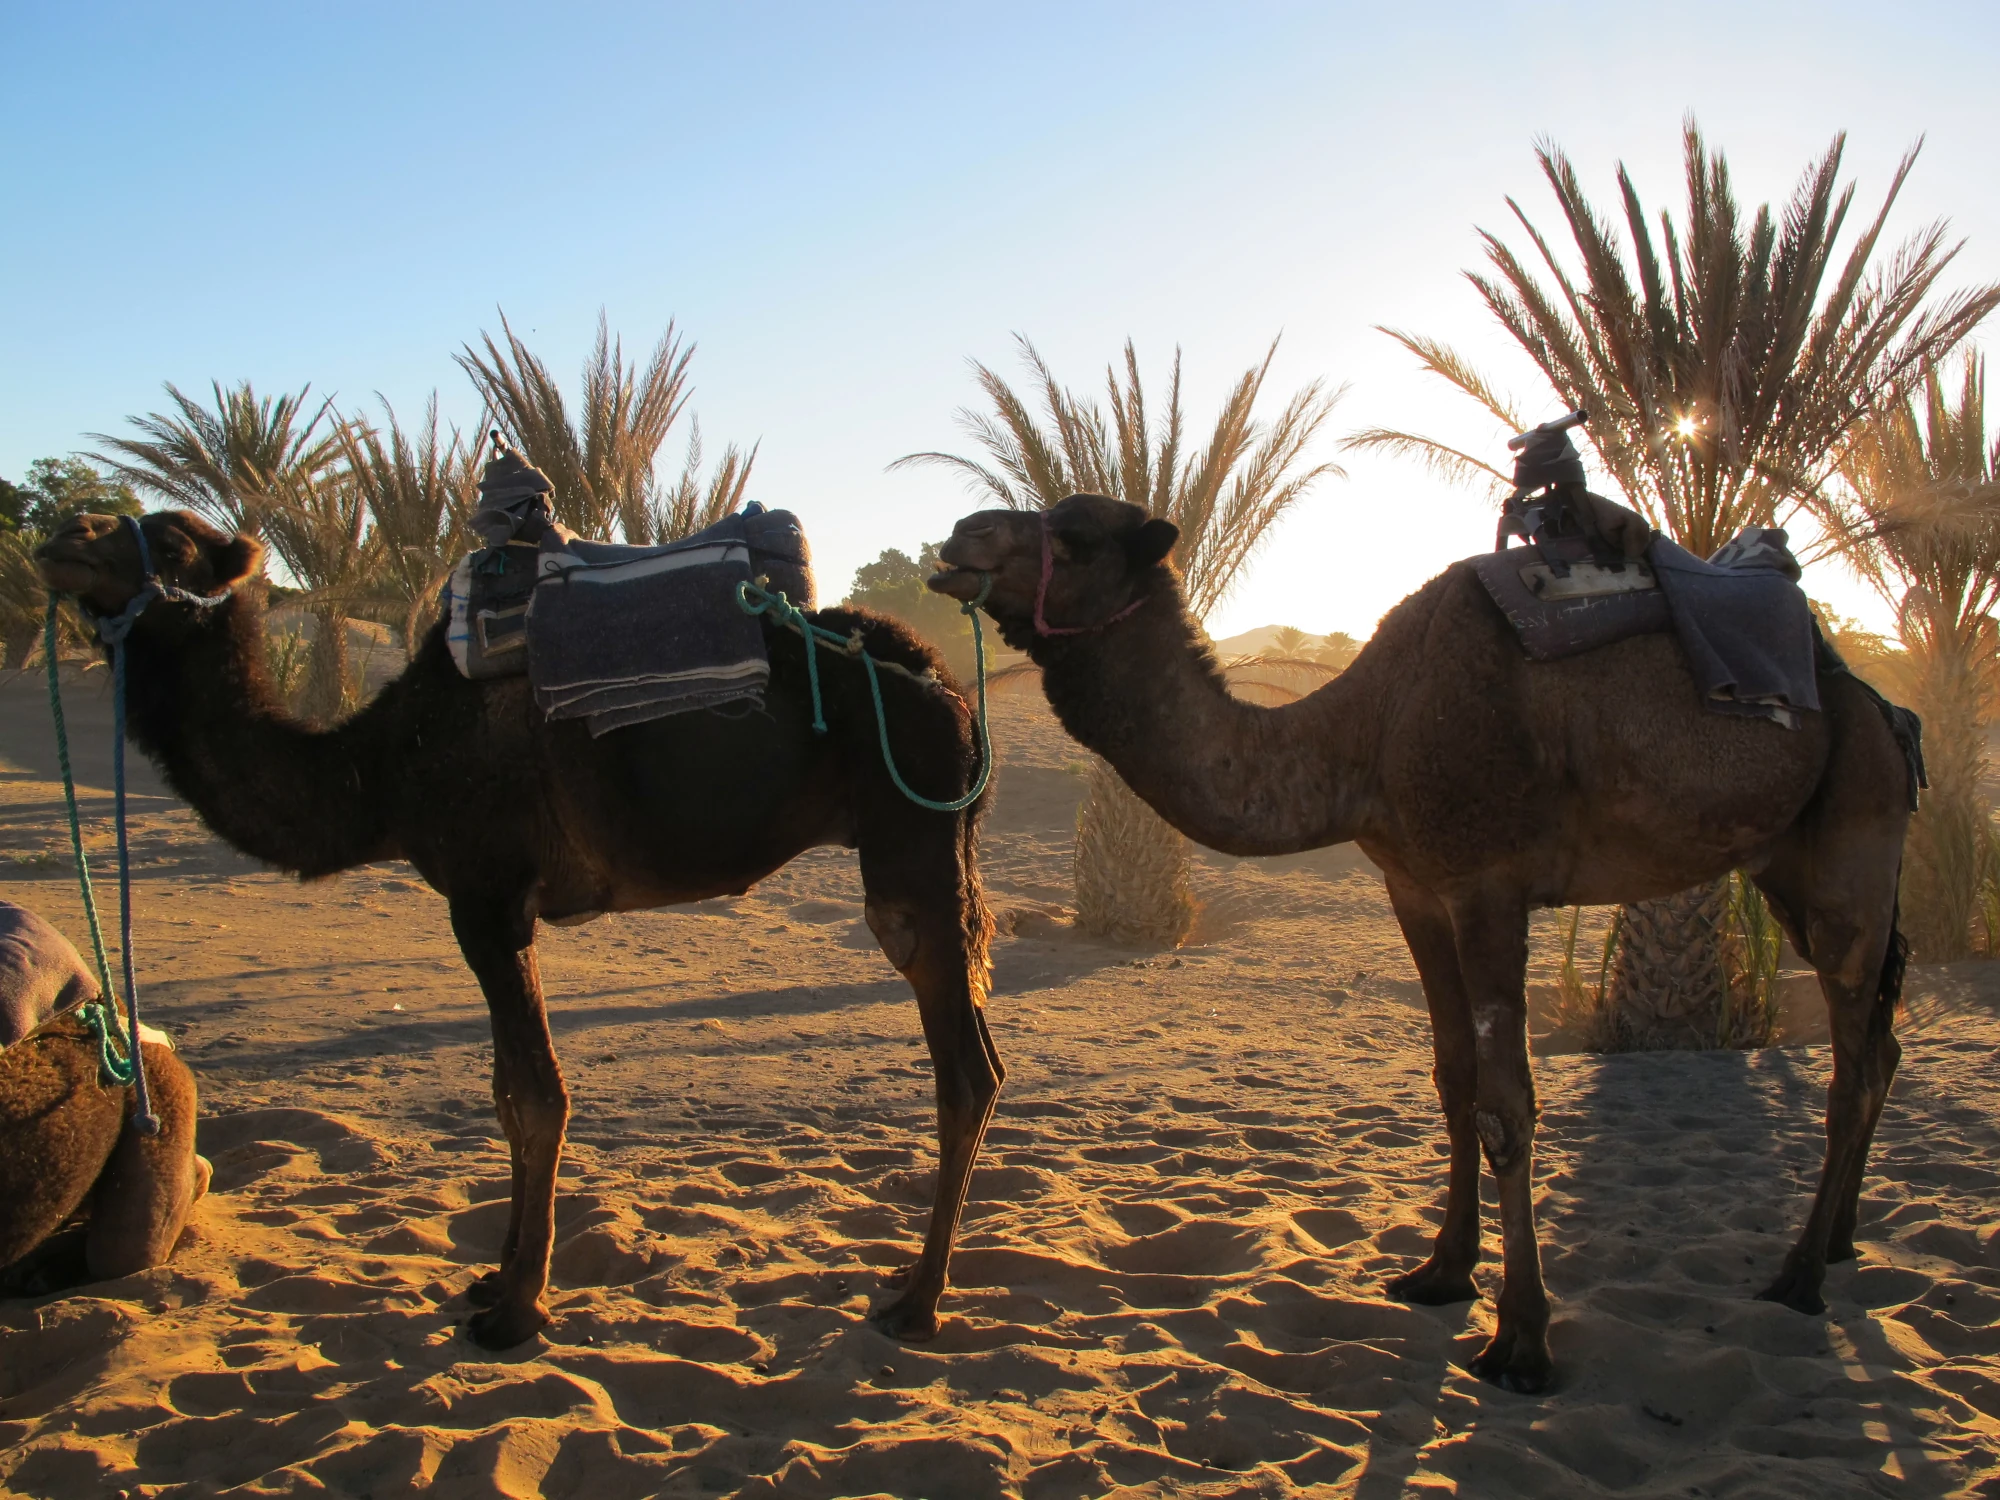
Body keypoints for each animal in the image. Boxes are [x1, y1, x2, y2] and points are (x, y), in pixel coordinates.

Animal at [31, 512, 1000, 1360]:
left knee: (963, 1066)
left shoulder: (486, 898)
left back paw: (916, 1303)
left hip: (909, 845)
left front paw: (517, 1312)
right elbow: (504, 1094)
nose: (64, 536)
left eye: (174, 541)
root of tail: (949, 687)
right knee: (978, 1054)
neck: (381, 769)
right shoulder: (492, 909)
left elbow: (535, 1098)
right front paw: (494, 1280)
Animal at [928, 496, 1912, 1400]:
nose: (962, 535)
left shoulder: (1488, 882)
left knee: (1853, 1058)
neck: (1369, 732)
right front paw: (1441, 1271)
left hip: (1854, 841)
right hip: (1785, 863)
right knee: (1881, 1039)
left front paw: (1520, 1341)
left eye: (1074, 536)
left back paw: (1800, 1276)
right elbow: (1452, 1080)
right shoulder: (1416, 888)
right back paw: (1839, 1243)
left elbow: (1508, 1105)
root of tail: (1877, 704)